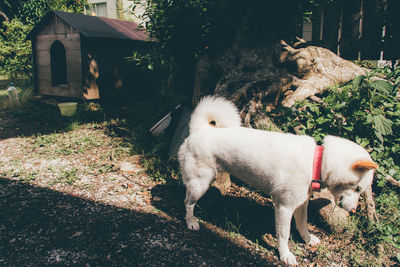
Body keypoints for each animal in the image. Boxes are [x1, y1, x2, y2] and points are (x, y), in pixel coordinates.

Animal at [179, 96, 378, 266]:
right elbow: (284, 234)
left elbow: (302, 223)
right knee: (188, 202)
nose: (353, 210)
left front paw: (307, 239)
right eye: (358, 189)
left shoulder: (301, 203)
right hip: (200, 183)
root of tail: (201, 129)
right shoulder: (284, 207)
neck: (316, 161)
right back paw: (191, 222)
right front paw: (285, 255)